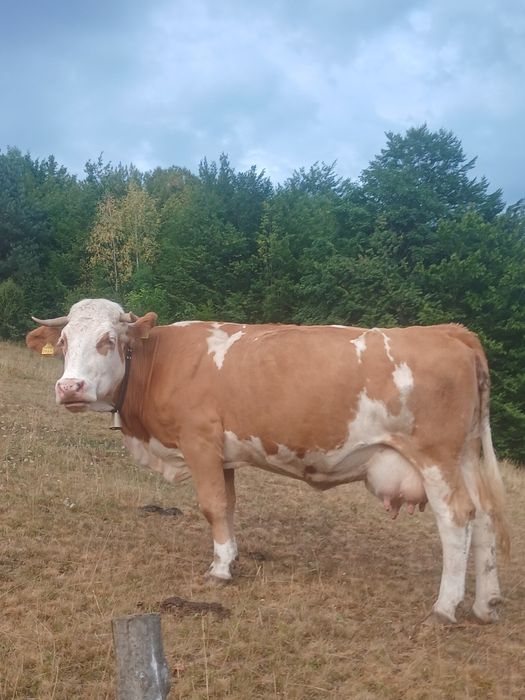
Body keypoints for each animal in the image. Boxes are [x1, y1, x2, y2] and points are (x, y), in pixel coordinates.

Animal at [26, 298, 509, 624]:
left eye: (108, 341)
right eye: (65, 341)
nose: (69, 388)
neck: (160, 362)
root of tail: (447, 331)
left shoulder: (199, 442)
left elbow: (212, 506)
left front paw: (220, 570)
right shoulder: (222, 456)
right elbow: (228, 507)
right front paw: (231, 556)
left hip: (435, 457)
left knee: (457, 519)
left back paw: (445, 607)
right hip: (466, 455)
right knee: (485, 517)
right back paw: (485, 603)